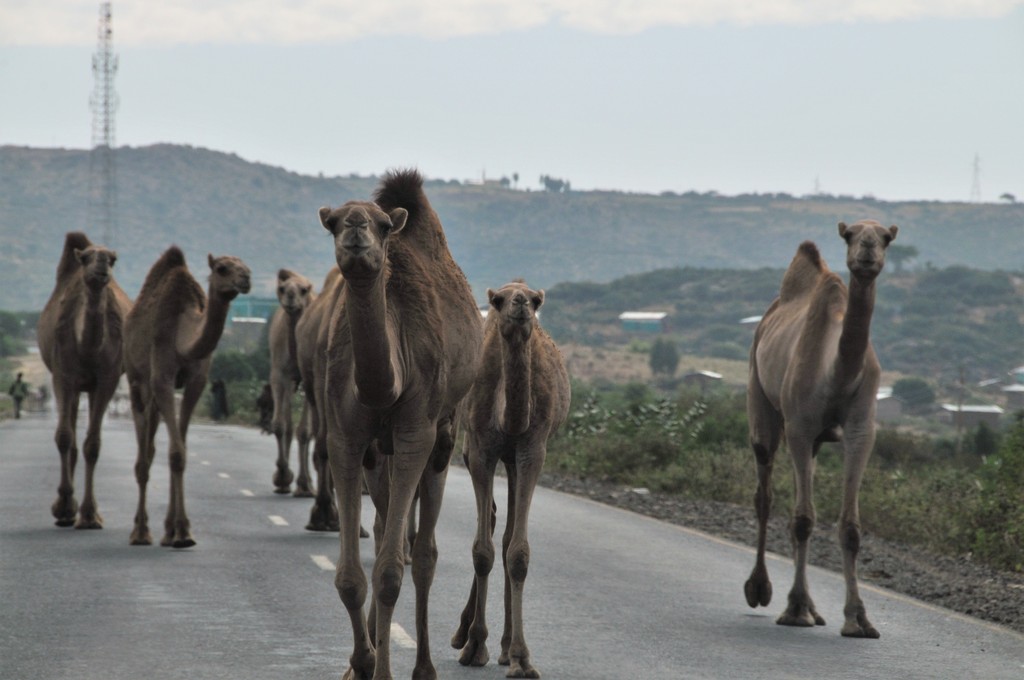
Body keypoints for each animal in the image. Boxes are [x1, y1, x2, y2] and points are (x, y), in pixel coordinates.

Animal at [37, 231, 132, 529]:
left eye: (112, 259)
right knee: (70, 437)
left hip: (89, 387)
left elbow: (93, 445)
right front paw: (64, 508)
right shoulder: (63, 376)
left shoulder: (106, 380)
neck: (87, 348)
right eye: (87, 257)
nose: (101, 267)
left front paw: (89, 515)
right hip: (74, 385)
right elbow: (64, 437)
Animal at [124, 246, 251, 548]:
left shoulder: (197, 381)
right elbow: (175, 451)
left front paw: (177, 531)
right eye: (222, 268)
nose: (246, 279)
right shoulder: (162, 377)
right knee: (143, 454)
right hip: (135, 378)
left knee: (153, 445)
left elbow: (180, 449)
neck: (182, 332)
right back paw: (140, 532)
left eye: (245, 266)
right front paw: (180, 533)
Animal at [319, 169, 482, 680]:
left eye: (383, 225)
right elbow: (351, 576)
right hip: (380, 453)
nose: (355, 229)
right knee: (386, 527)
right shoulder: (347, 435)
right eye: (331, 222)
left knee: (423, 553)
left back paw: (425, 666)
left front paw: (383, 670)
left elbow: (392, 572)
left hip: (443, 436)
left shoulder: (416, 433)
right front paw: (360, 662)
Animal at [451, 280, 570, 679]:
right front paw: (474, 646)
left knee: (503, 538)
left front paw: (520, 658)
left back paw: (503, 647)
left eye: (535, 300)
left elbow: (517, 553)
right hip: (470, 447)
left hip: (515, 462)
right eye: (499, 300)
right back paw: (465, 635)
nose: (519, 304)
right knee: (488, 525)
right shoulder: (481, 449)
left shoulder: (532, 449)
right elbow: (481, 551)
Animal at [744, 220, 898, 639]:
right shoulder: (799, 425)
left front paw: (859, 619)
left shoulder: (861, 429)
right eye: (851, 234)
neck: (837, 373)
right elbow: (802, 519)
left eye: (886, 237)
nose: (867, 249)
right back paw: (761, 590)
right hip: (760, 398)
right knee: (765, 494)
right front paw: (794, 609)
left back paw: (815, 608)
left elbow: (850, 527)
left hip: (812, 442)